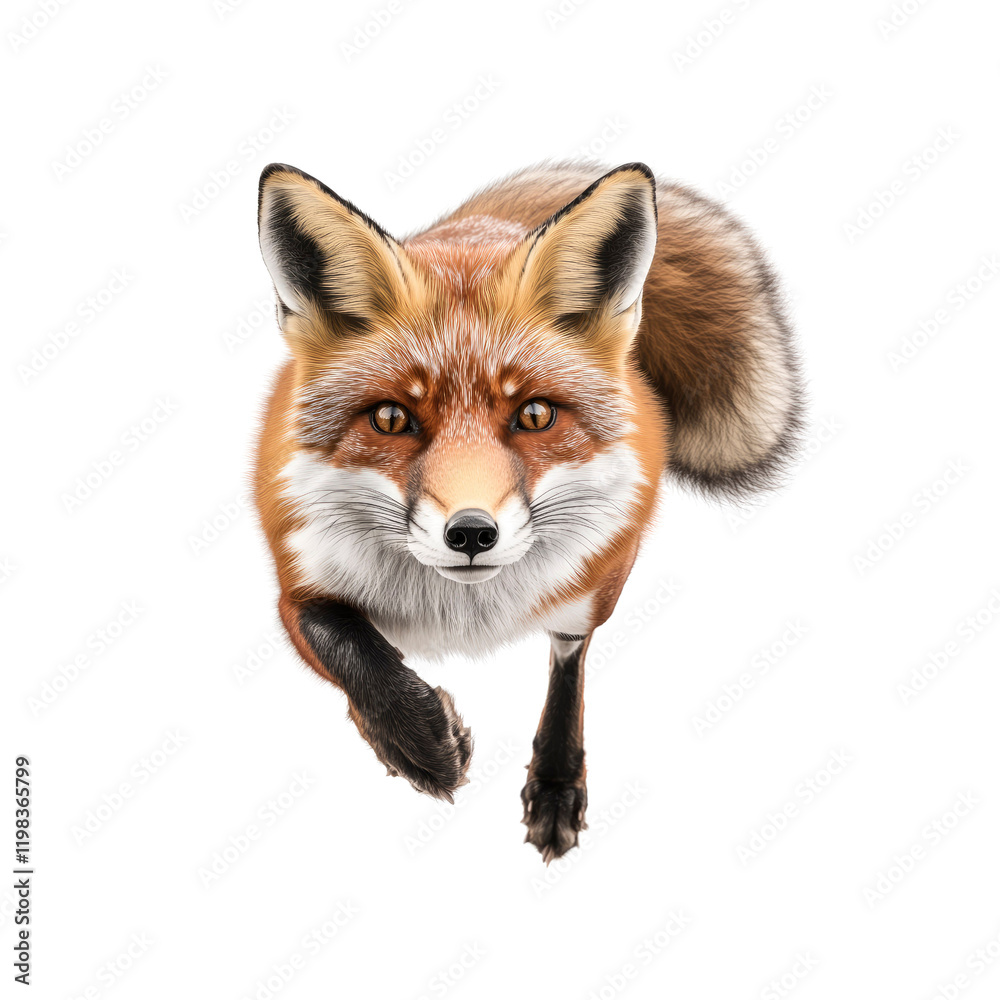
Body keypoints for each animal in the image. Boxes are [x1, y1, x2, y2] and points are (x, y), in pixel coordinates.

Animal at [252, 160, 803, 861]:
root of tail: (483, 224)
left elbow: (567, 668)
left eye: (535, 414)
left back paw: (556, 783)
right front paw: (414, 740)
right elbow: (346, 645)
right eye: (391, 418)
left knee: (570, 659)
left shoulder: (596, 578)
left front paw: (552, 783)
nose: (470, 534)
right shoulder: (295, 578)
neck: (461, 615)